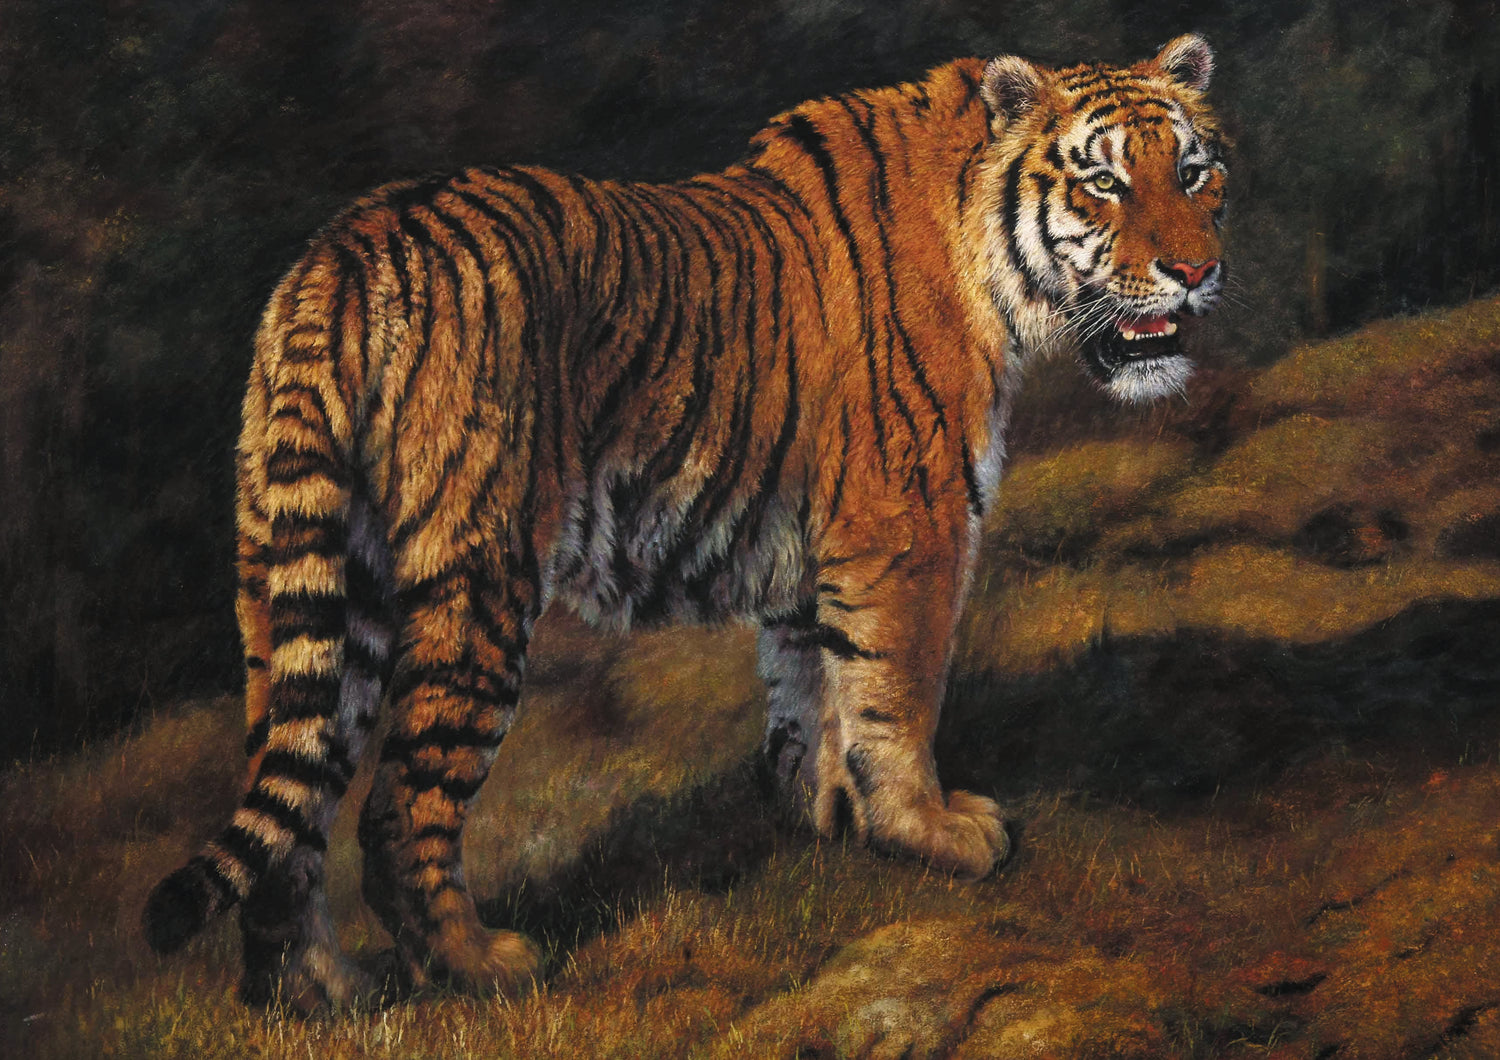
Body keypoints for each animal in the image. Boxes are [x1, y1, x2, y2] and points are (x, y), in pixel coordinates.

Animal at [143, 34, 1227, 1009]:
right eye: (1104, 184)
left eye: (1193, 170)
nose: (1193, 271)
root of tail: (343, 250)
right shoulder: (909, 528)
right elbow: (896, 696)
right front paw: (934, 832)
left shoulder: (815, 552)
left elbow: (812, 691)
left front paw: (825, 817)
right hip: (475, 584)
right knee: (398, 811)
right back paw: (482, 965)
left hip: (304, 583)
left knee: (291, 802)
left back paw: (316, 993)